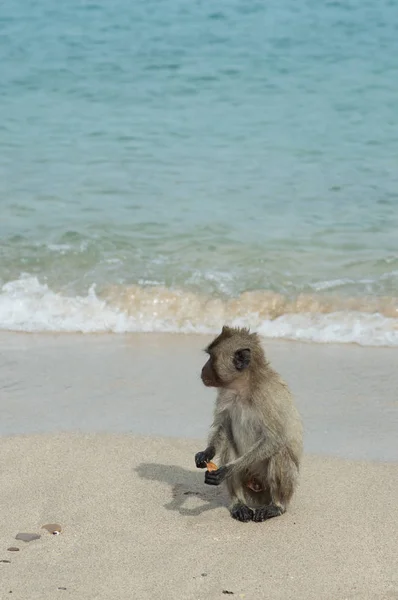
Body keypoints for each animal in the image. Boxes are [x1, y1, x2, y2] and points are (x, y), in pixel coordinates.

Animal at [194, 326, 304, 524]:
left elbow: (275, 439)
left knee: (280, 452)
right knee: (229, 444)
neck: (243, 388)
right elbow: (222, 426)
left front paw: (227, 470)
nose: (202, 369)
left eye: (211, 358)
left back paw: (276, 506)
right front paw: (206, 453)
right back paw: (239, 503)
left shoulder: (266, 396)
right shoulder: (226, 394)